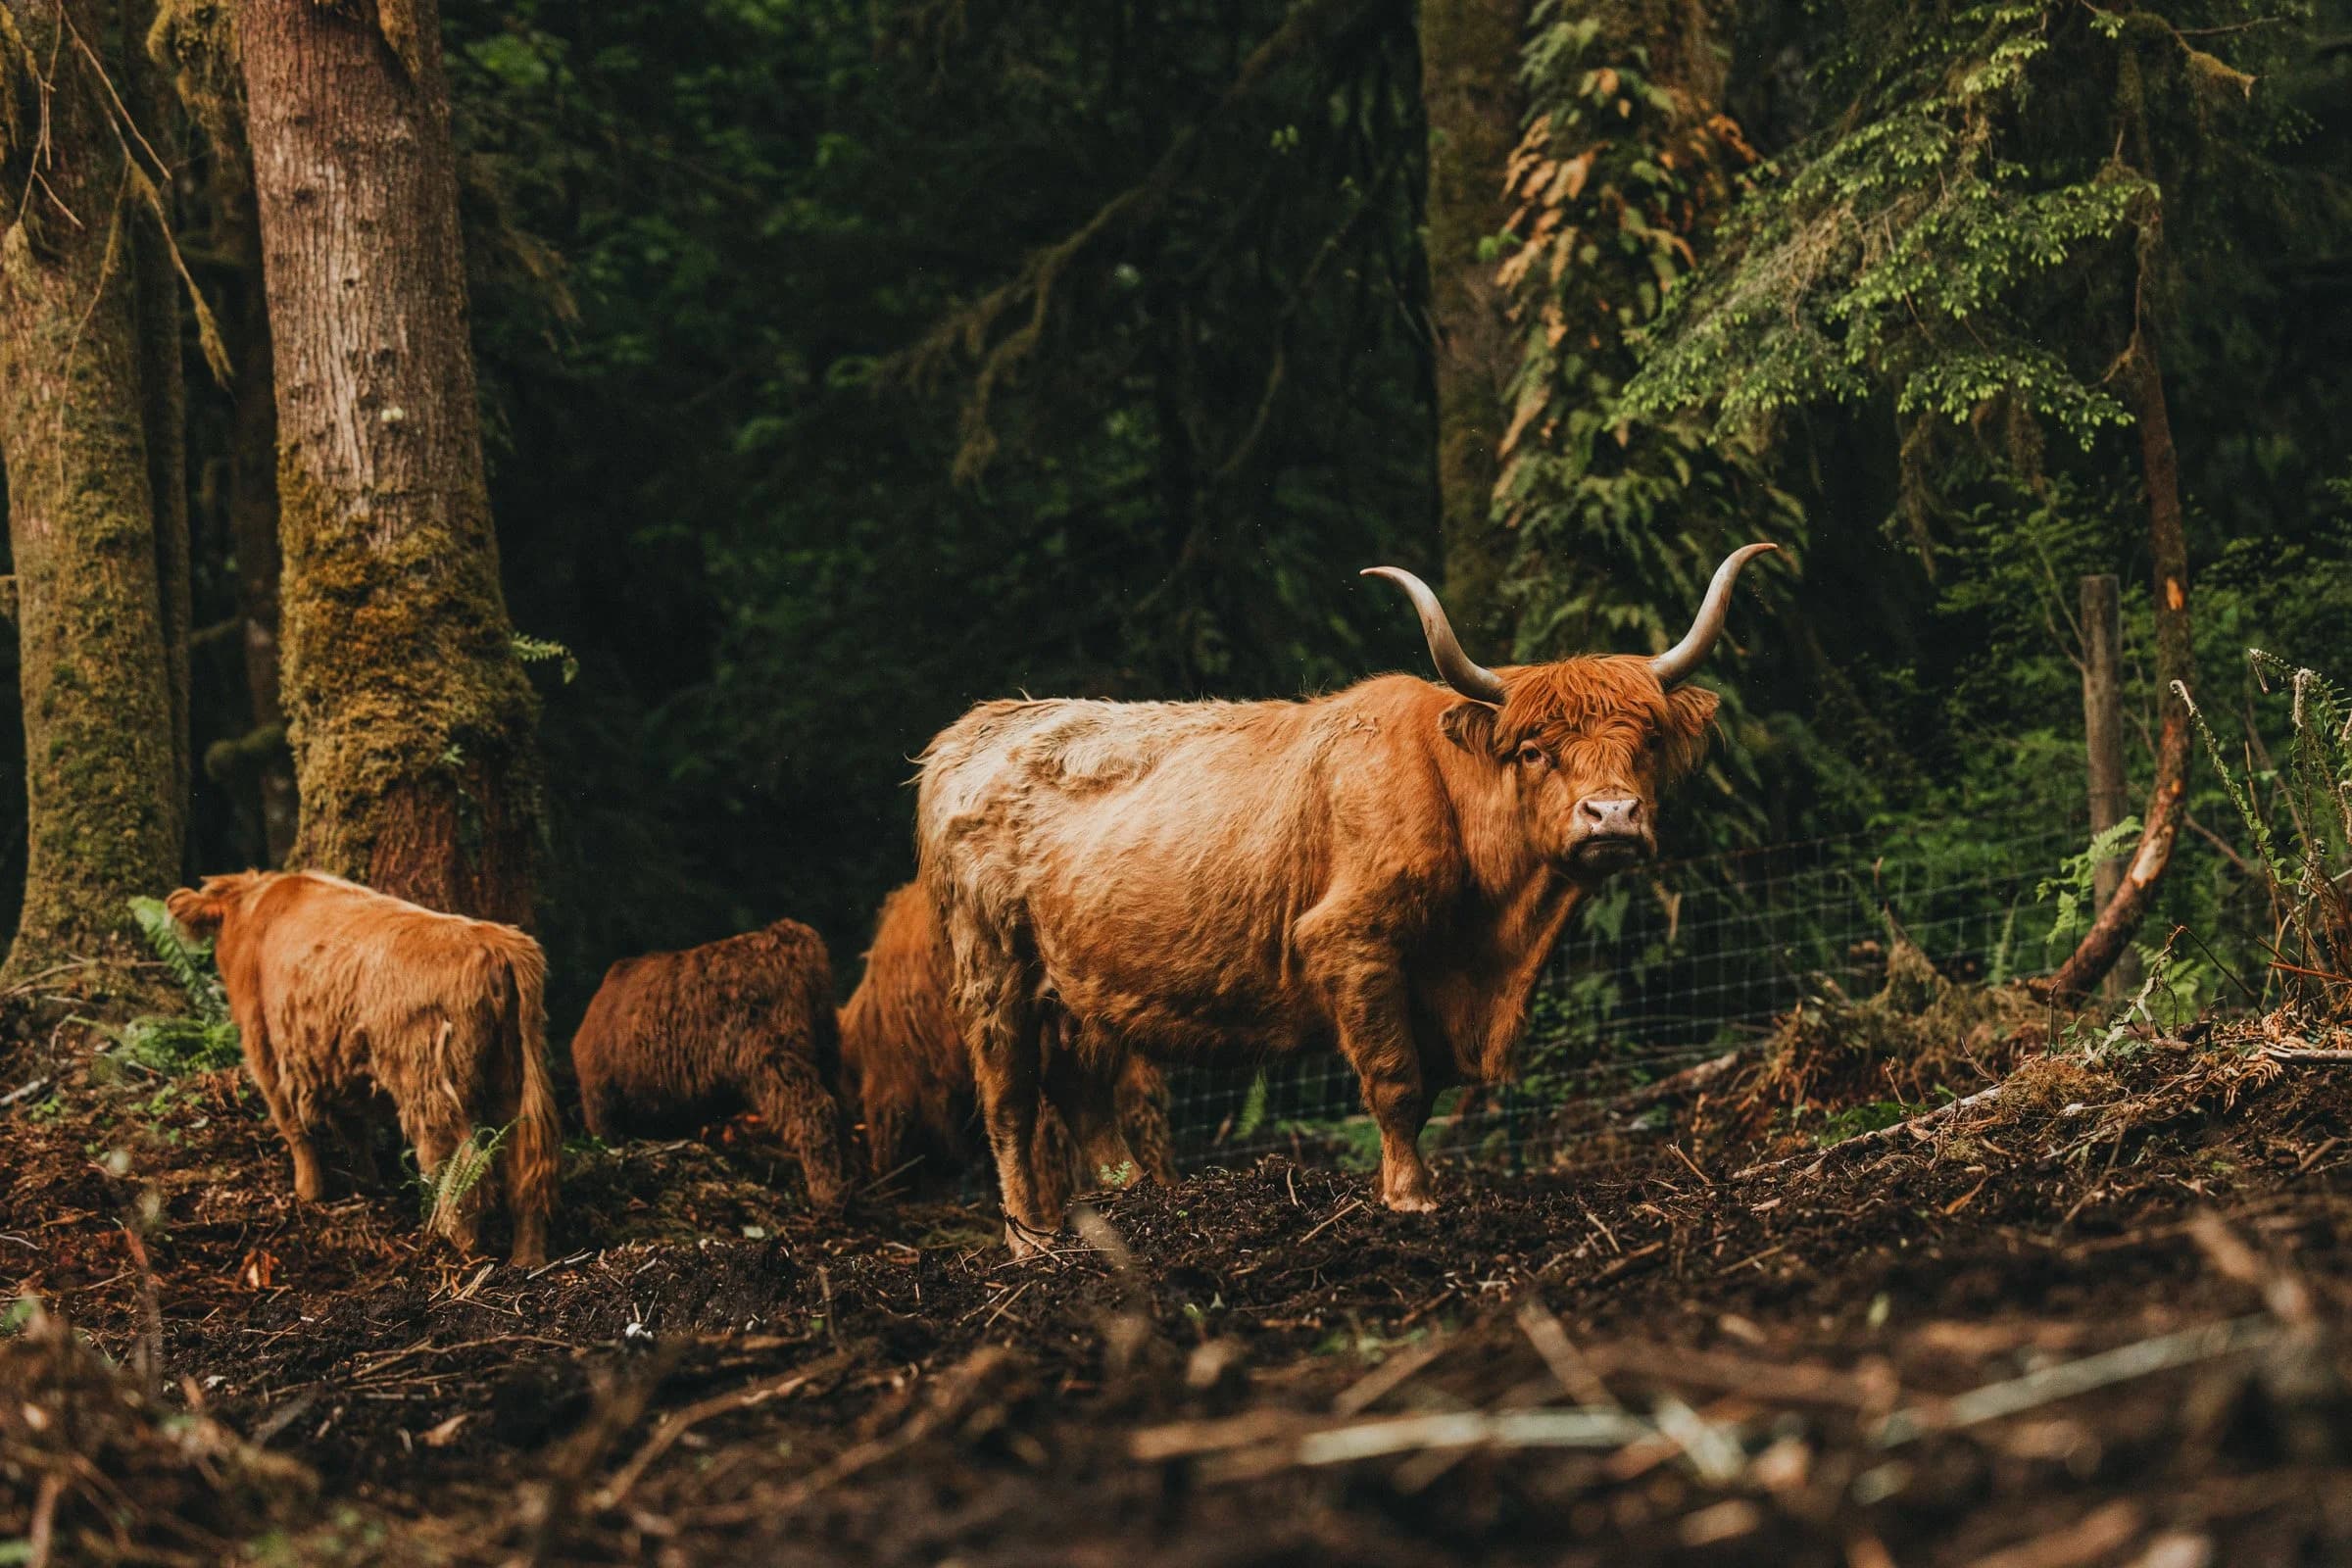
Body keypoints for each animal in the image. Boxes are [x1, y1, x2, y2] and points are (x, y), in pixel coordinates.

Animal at [165, 871, 560, 1267]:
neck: (255, 907)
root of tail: (497, 942)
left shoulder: (265, 1050)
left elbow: (294, 1127)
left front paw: (308, 1191)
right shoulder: (335, 1059)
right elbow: (353, 1127)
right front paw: (367, 1182)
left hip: (431, 1088)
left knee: (462, 1168)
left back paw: (456, 1248)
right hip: (512, 1079)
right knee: (525, 1166)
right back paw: (527, 1259)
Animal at [569, 919, 849, 1208]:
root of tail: (786, 933)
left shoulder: (603, 1102)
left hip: (772, 1056)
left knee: (814, 1110)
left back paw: (826, 1196)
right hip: (823, 1046)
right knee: (840, 1108)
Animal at [916, 544, 1774, 1250]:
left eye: (1647, 743)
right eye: (1534, 751)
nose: (1613, 816)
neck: (1493, 937)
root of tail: (979, 728)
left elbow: (1423, 1089)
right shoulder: (1352, 942)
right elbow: (1395, 1080)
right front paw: (1410, 1200)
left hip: (1079, 990)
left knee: (1082, 1096)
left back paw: (1127, 1211)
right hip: (993, 972)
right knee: (1009, 1103)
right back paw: (1031, 1241)